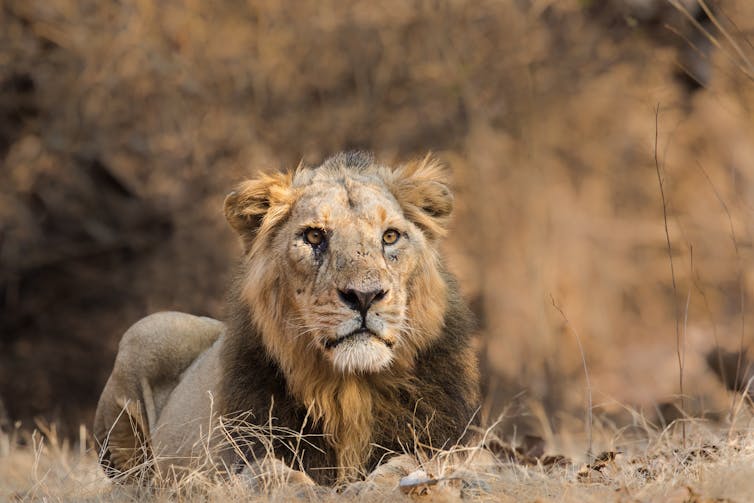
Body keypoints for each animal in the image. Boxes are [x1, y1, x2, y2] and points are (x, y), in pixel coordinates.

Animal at [93, 151, 480, 486]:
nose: (365, 296)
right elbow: (269, 471)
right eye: (314, 235)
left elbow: (410, 462)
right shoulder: (239, 452)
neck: (350, 390)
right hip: (147, 331)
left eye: (390, 236)